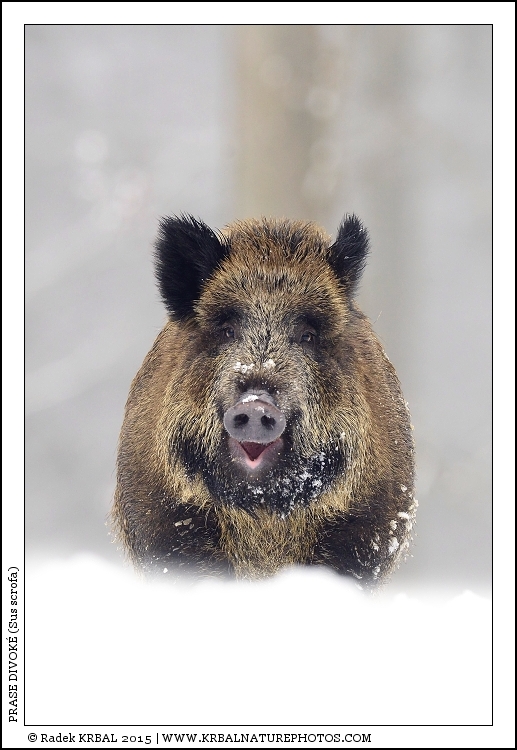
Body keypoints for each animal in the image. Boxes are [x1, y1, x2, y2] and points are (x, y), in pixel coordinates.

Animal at [111, 214, 416, 587]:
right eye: (227, 330)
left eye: (307, 335)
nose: (256, 404)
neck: (263, 513)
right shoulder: (163, 519)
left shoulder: (368, 526)